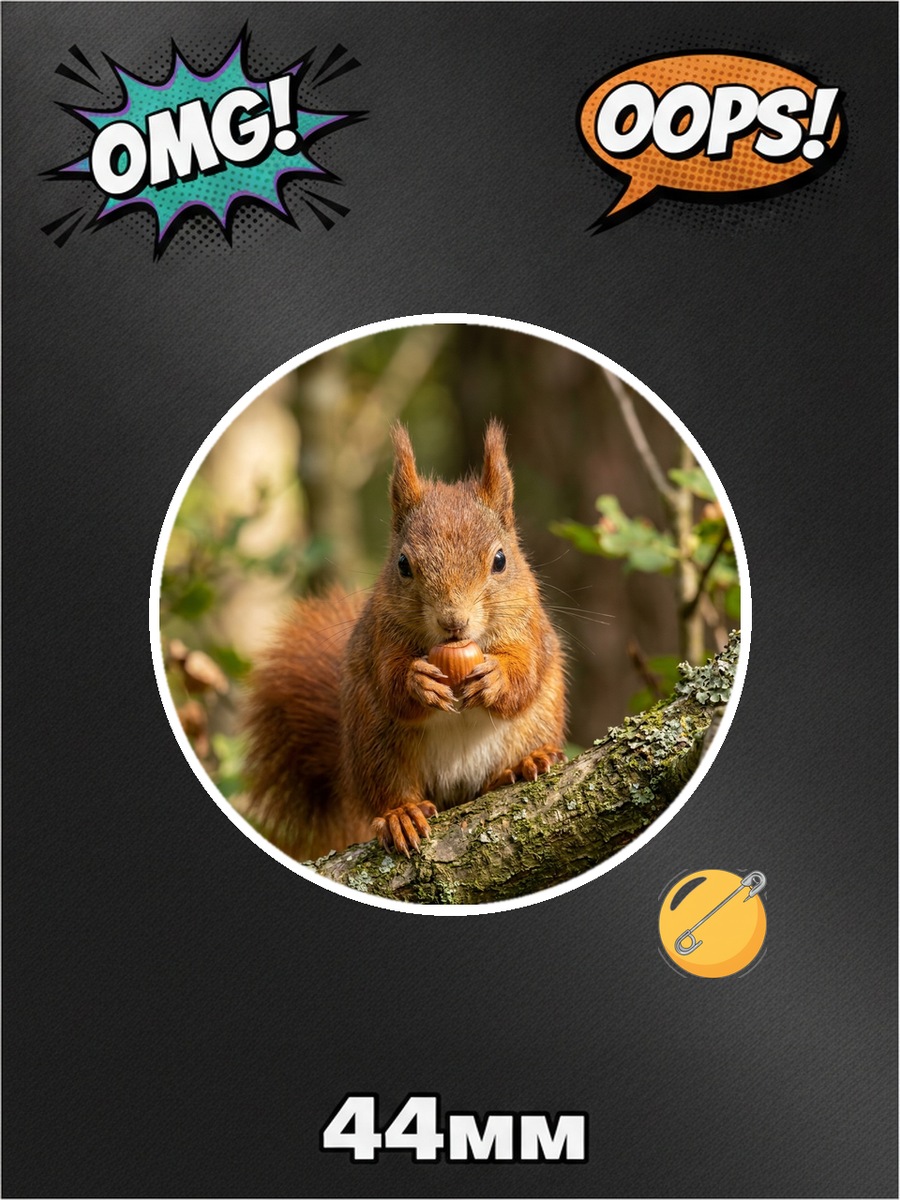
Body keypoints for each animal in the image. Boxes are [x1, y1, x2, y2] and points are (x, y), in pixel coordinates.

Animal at [242, 419, 567, 860]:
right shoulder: (381, 635)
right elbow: (391, 683)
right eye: (403, 565)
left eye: (500, 560)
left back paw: (522, 765)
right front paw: (419, 681)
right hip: (377, 744)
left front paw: (496, 678)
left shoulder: (528, 626)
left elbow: (525, 672)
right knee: (390, 790)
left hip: (538, 719)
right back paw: (402, 814)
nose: (453, 621)